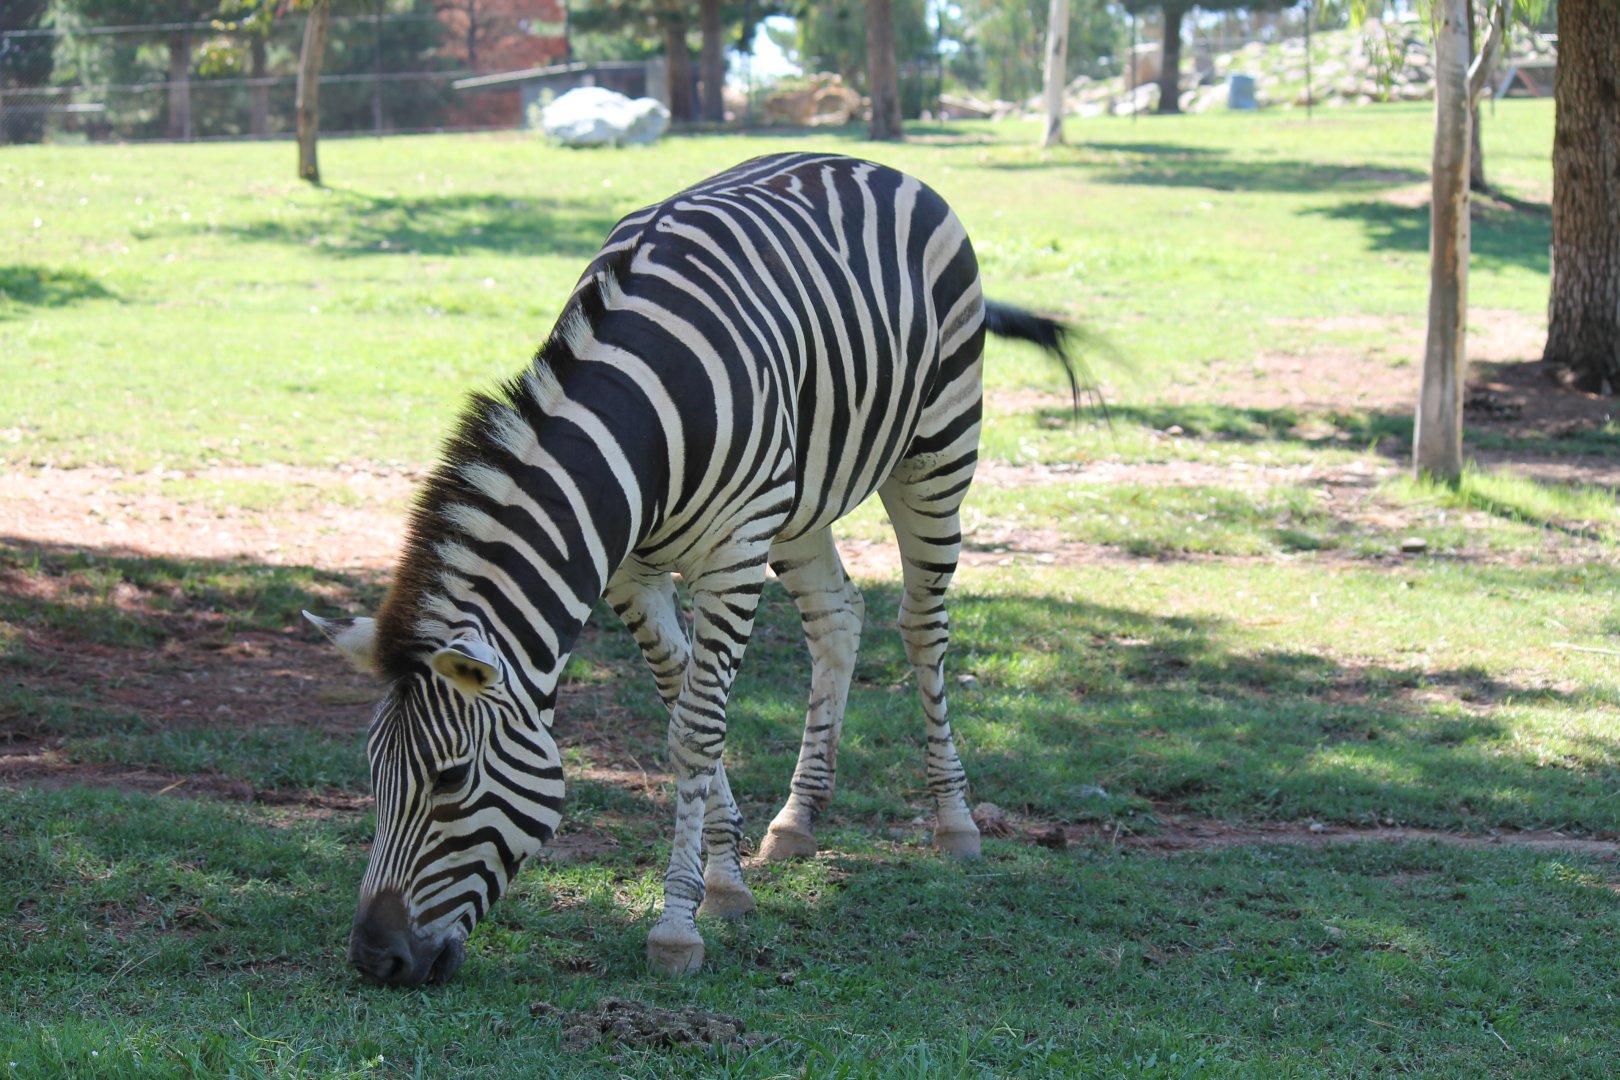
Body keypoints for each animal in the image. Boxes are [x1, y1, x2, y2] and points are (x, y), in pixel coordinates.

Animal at [304, 151, 1079, 986]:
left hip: (937, 450)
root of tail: (869, 162)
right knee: (838, 618)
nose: (373, 958)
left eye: (449, 780)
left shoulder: (732, 555)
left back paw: (955, 821)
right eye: (372, 775)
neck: (640, 426)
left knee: (922, 626)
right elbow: (683, 709)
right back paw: (797, 819)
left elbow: (697, 732)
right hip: (800, 503)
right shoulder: (633, 574)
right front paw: (726, 877)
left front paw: (678, 926)